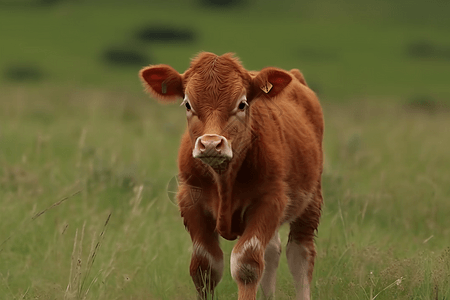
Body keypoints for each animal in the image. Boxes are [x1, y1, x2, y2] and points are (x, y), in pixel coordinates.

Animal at [140, 52, 324, 298]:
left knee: (300, 254)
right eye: (188, 104)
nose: (210, 144)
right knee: (272, 251)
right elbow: (204, 266)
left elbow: (247, 264)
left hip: (311, 200)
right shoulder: (190, 201)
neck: (223, 179)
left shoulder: (270, 200)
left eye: (242, 104)